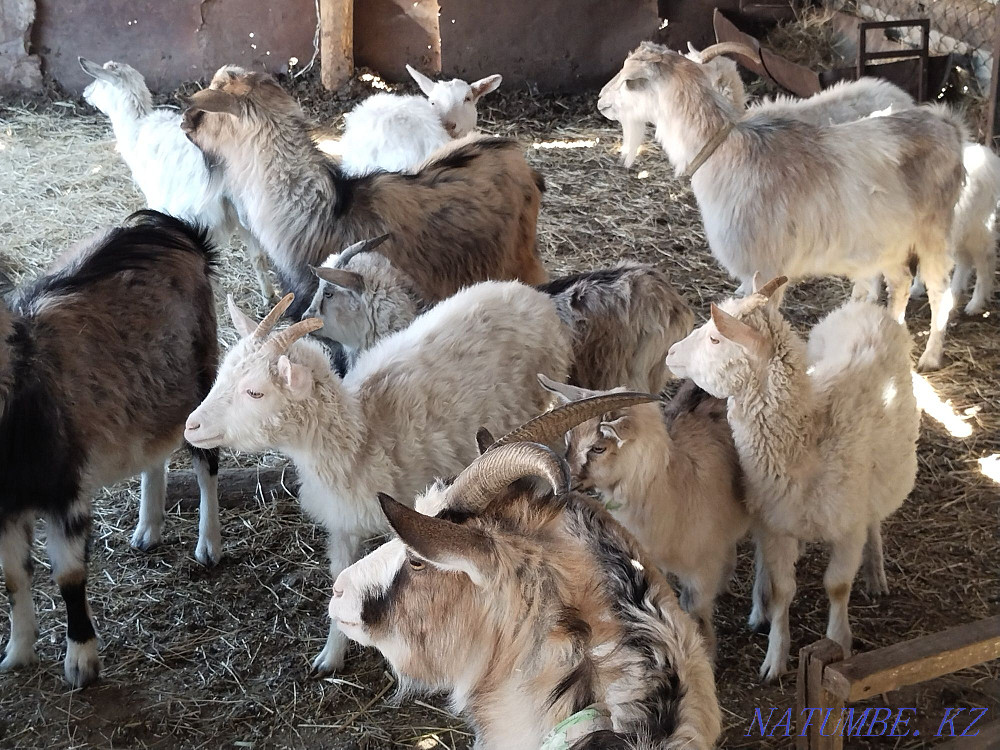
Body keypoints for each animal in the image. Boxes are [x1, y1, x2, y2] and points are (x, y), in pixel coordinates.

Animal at [0, 210, 220, 687]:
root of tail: (172, 229)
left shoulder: (65, 492)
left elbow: (69, 576)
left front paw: (81, 661)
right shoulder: (3, 509)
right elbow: (13, 578)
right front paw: (17, 653)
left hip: (200, 376)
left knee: (205, 461)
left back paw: (209, 544)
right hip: (149, 396)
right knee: (153, 453)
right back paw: (147, 529)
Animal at [184, 281, 573, 674]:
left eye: (255, 392)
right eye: (222, 375)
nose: (190, 426)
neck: (361, 433)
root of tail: (528, 293)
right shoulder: (341, 523)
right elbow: (340, 576)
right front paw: (331, 656)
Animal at [599, 42, 965, 371]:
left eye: (630, 80)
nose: (601, 101)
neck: (726, 151)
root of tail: (948, 125)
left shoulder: (765, 267)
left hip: (934, 231)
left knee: (940, 293)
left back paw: (930, 358)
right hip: (887, 241)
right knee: (900, 282)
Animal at [666, 276, 919, 681]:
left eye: (716, 339)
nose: (671, 352)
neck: (806, 436)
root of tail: (865, 306)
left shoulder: (847, 527)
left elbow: (837, 586)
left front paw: (839, 641)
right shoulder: (777, 524)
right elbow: (783, 590)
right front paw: (775, 655)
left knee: (875, 519)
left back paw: (876, 571)